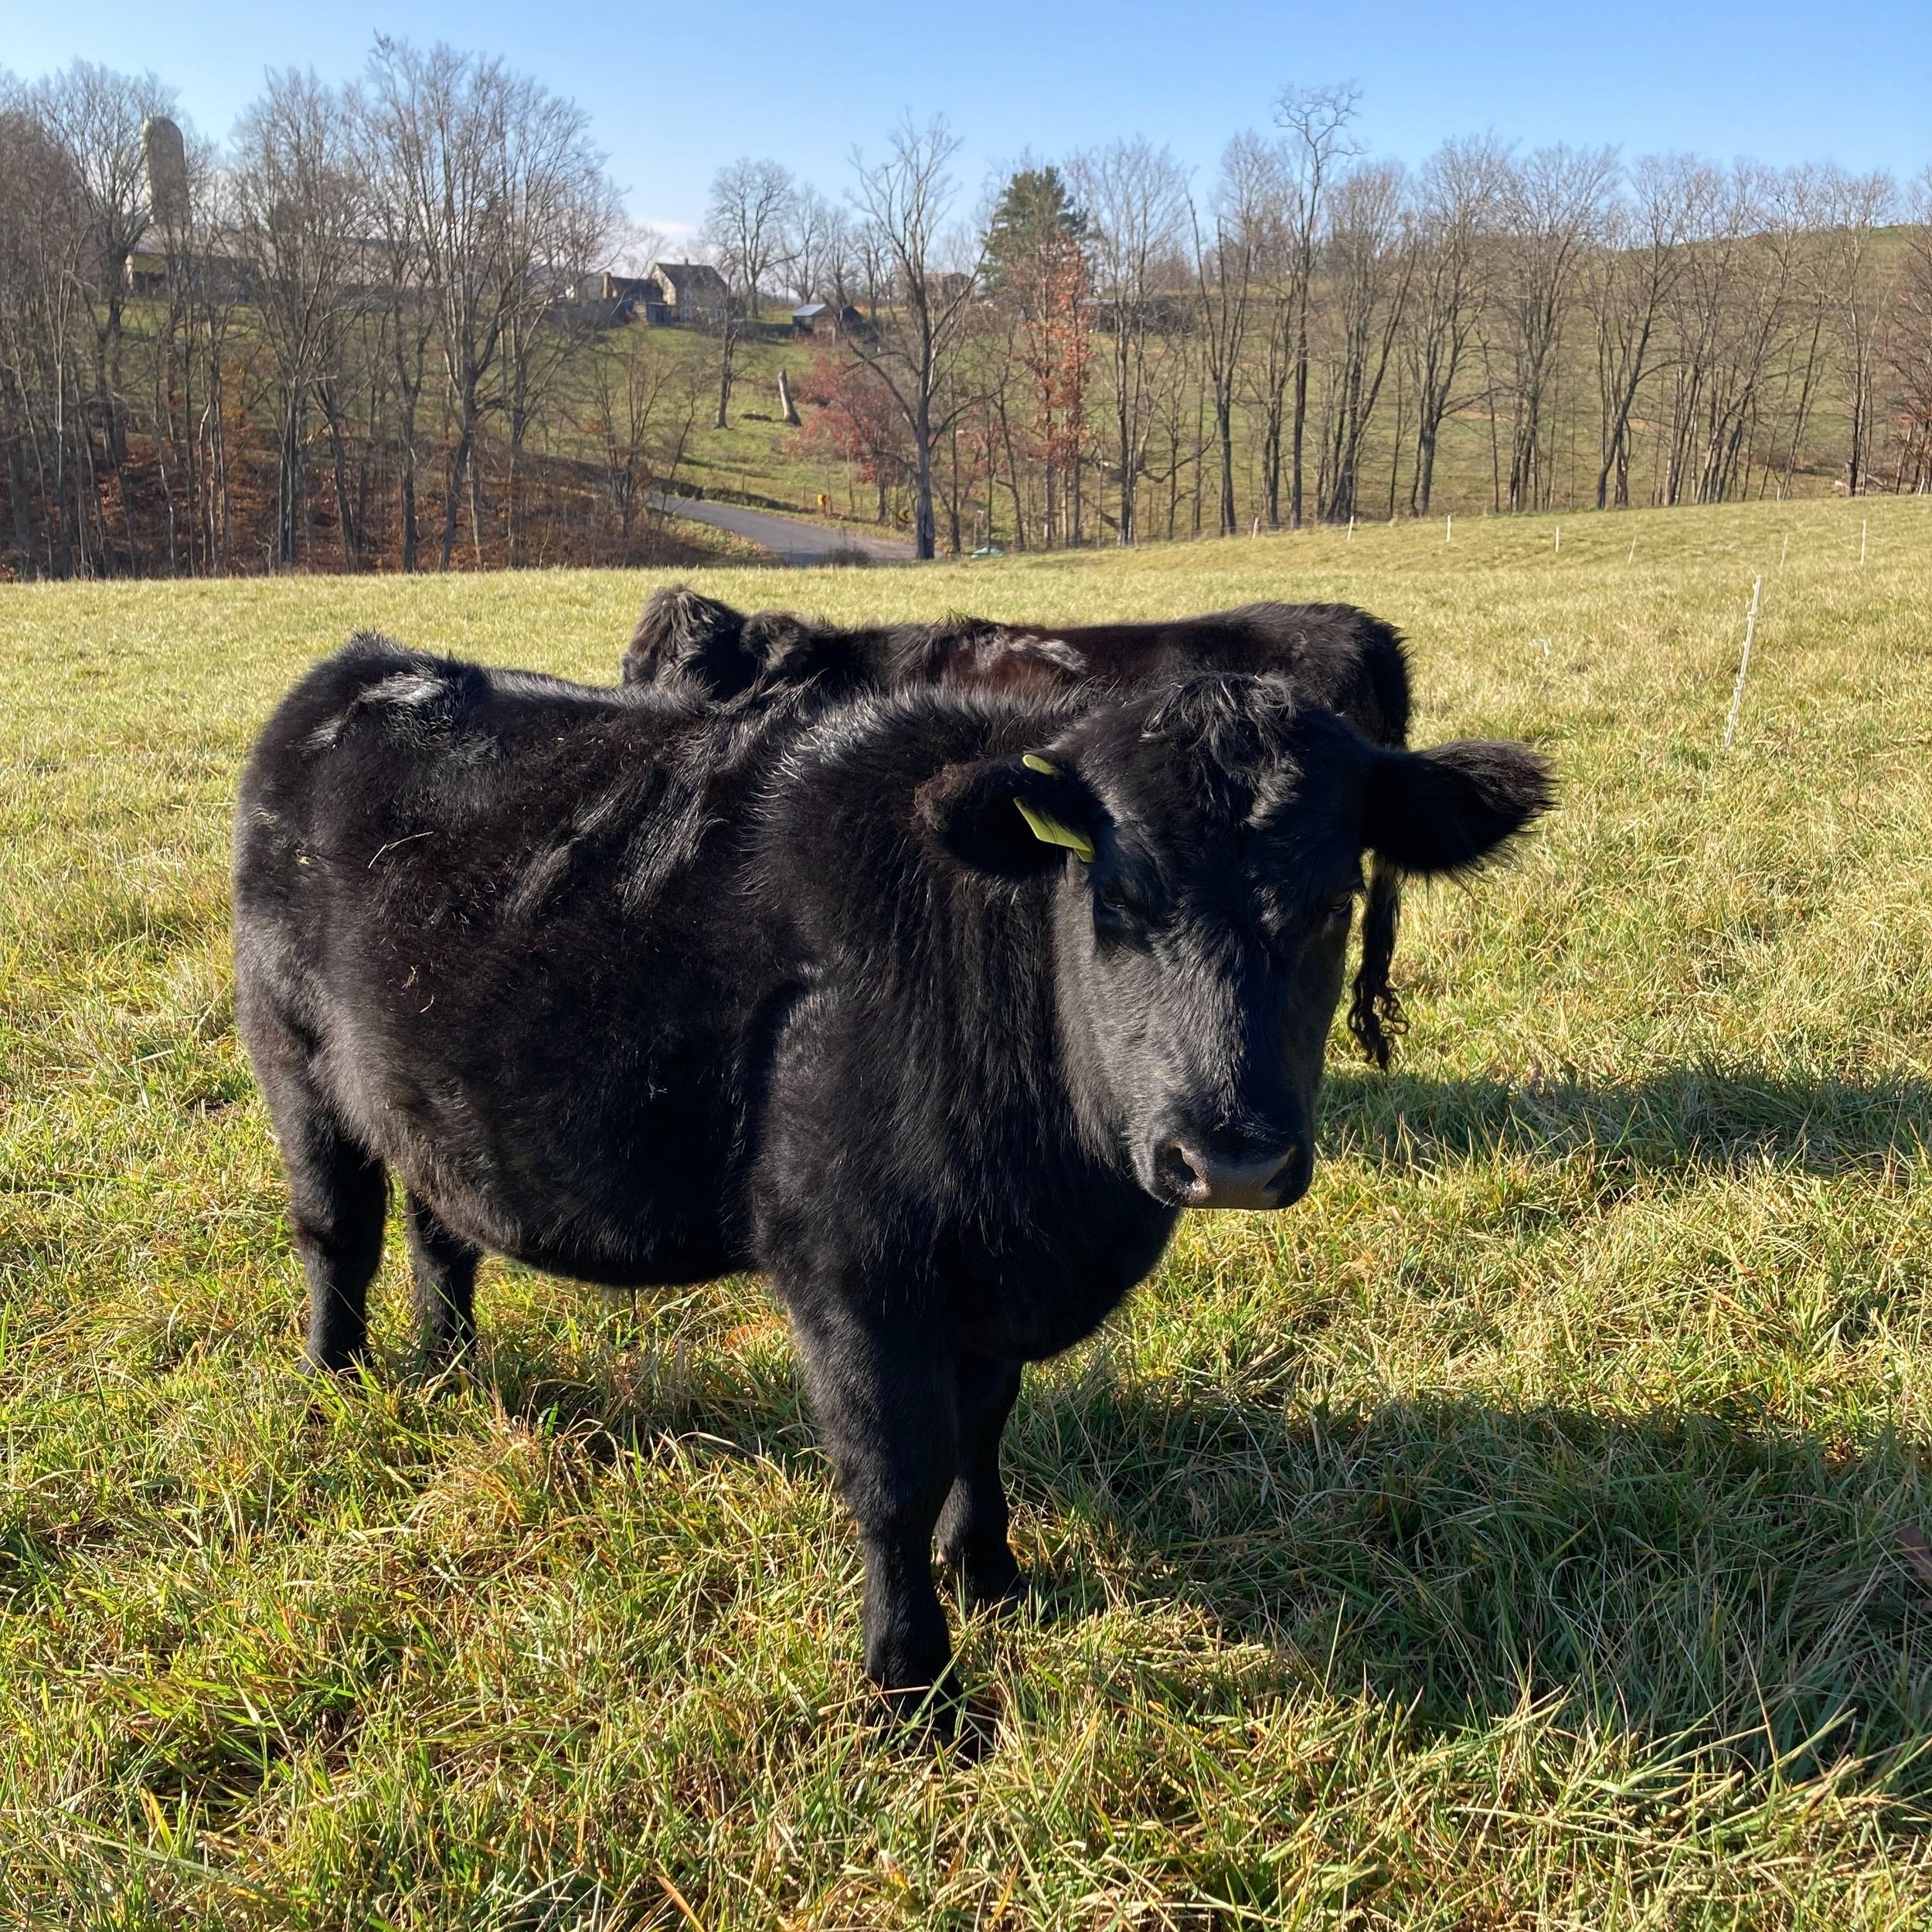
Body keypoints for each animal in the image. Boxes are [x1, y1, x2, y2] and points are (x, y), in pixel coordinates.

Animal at [234, 636, 1550, 1716]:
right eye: (1118, 897)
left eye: (1332, 901)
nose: (1228, 1156)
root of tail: (372, 668)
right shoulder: (856, 1273)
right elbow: (895, 1476)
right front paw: (911, 1685)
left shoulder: (990, 1278)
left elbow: (985, 1425)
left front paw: (993, 1572)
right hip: (295, 1062)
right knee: (337, 1231)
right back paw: (336, 1384)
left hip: (424, 1102)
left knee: (441, 1229)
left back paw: (451, 1367)